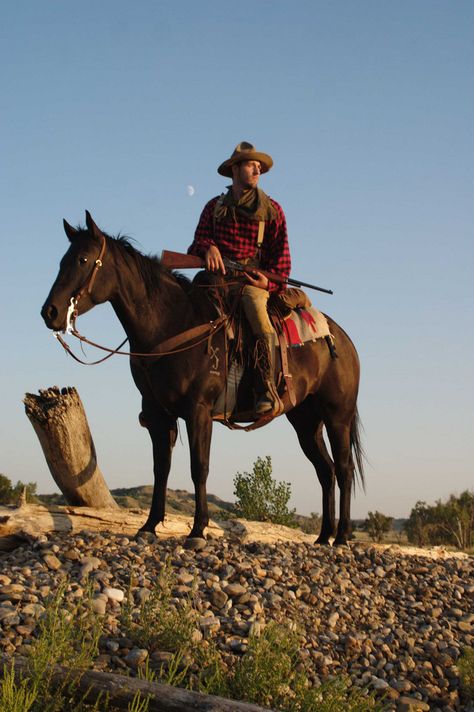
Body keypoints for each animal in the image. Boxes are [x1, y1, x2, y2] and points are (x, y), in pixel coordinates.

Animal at [42, 211, 364, 544]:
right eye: (63, 261)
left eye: (83, 259)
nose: (50, 312)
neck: (172, 323)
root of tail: (343, 339)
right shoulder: (158, 415)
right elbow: (161, 469)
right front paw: (149, 525)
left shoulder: (198, 411)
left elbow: (199, 467)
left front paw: (198, 529)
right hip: (305, 420)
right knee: (325, 471)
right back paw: (323, 537)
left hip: (337, 416)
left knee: (343, 469)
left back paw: (342, 537)